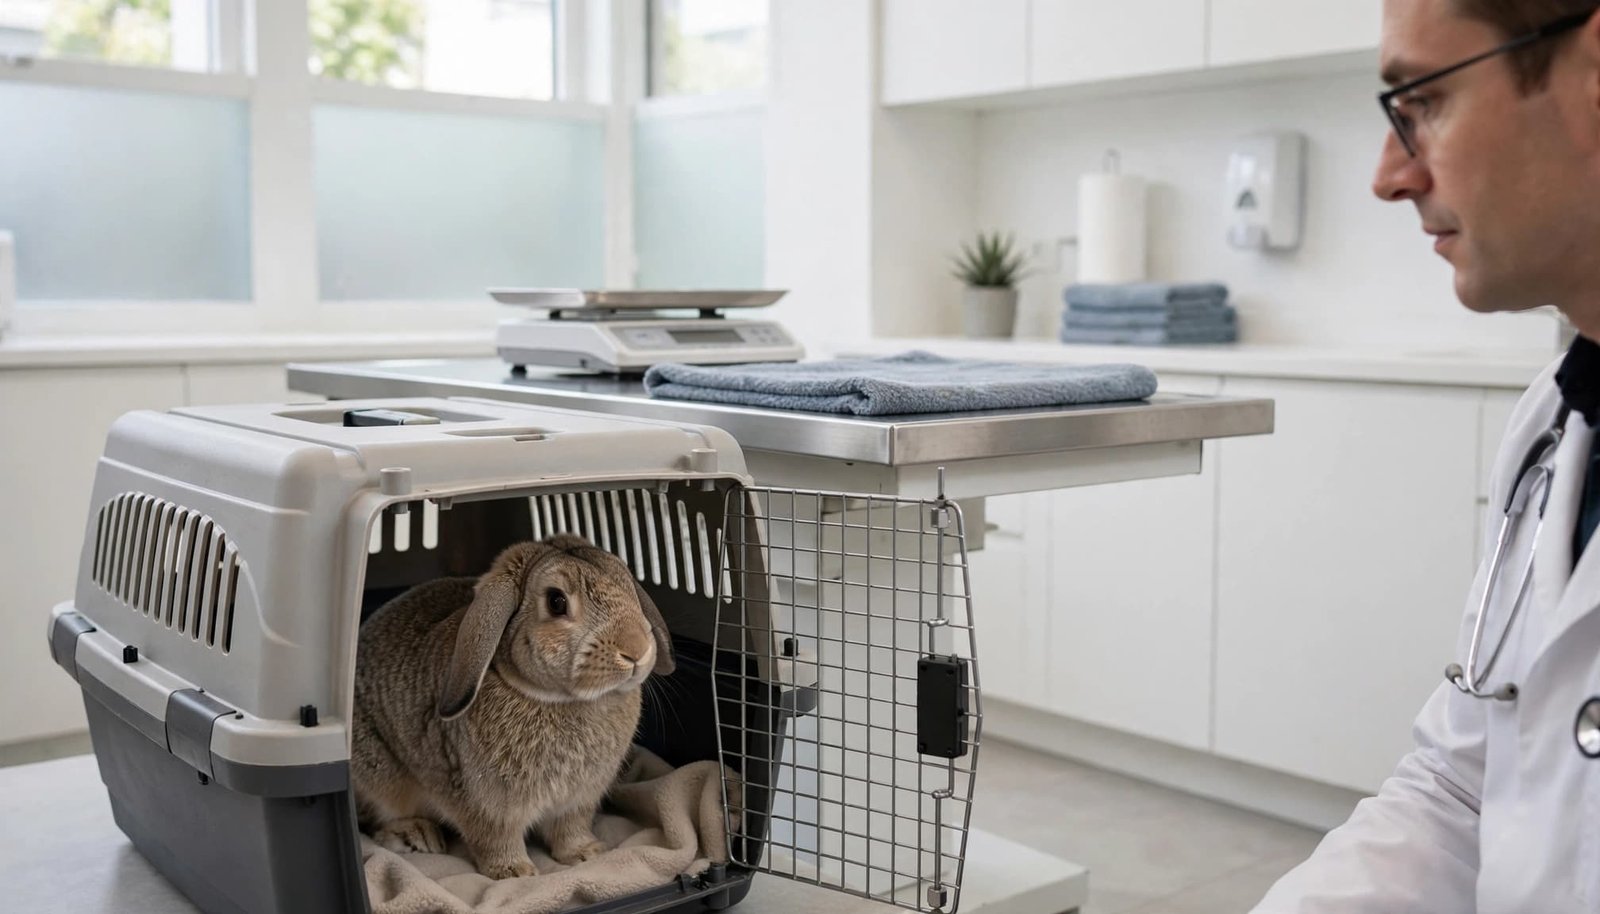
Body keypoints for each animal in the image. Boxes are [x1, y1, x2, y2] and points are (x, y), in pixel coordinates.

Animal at [351, 533, 675, 879]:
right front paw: (515, 872)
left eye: (627, 584)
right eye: (556, 602)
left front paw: (587, 854)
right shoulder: (485, 805)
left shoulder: (578, 800)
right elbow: (495, 838)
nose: (637, 650)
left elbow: (570, 829)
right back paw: (417, 836)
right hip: (378, 778)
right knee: (374, 820)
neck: (559, 698)